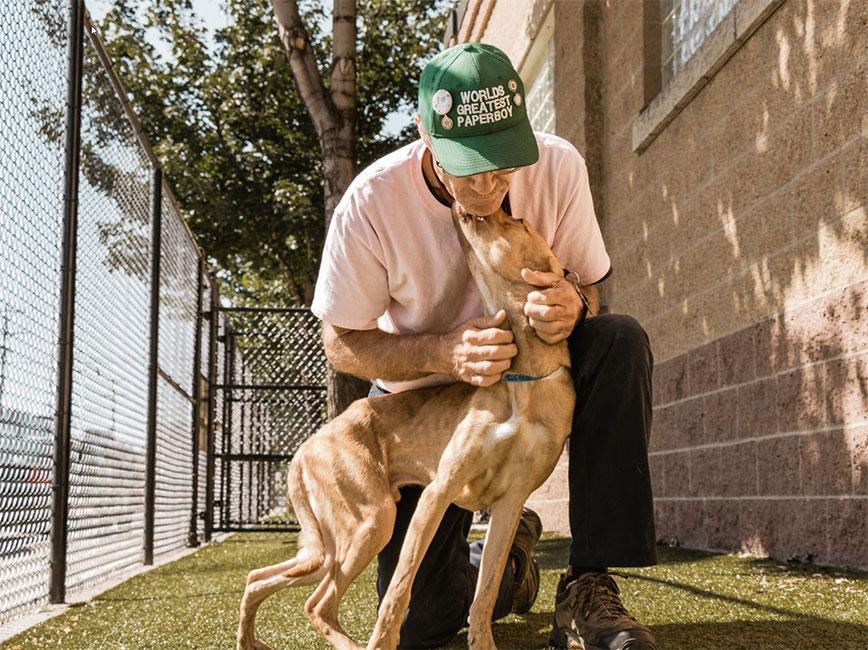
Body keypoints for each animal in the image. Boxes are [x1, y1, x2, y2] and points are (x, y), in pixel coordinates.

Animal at [236, 205, 576, 648]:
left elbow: (483, 595)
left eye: (516, 221)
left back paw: (249, 639)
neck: (524, 381)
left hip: (328, 546)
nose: (471, 209)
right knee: (317, 603)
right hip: (370, 522)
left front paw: (482, 641)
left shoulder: (509, 503)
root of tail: (306, 447)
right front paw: (385, 637)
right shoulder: (438, 491)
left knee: (261, 579)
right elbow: (398, 591)